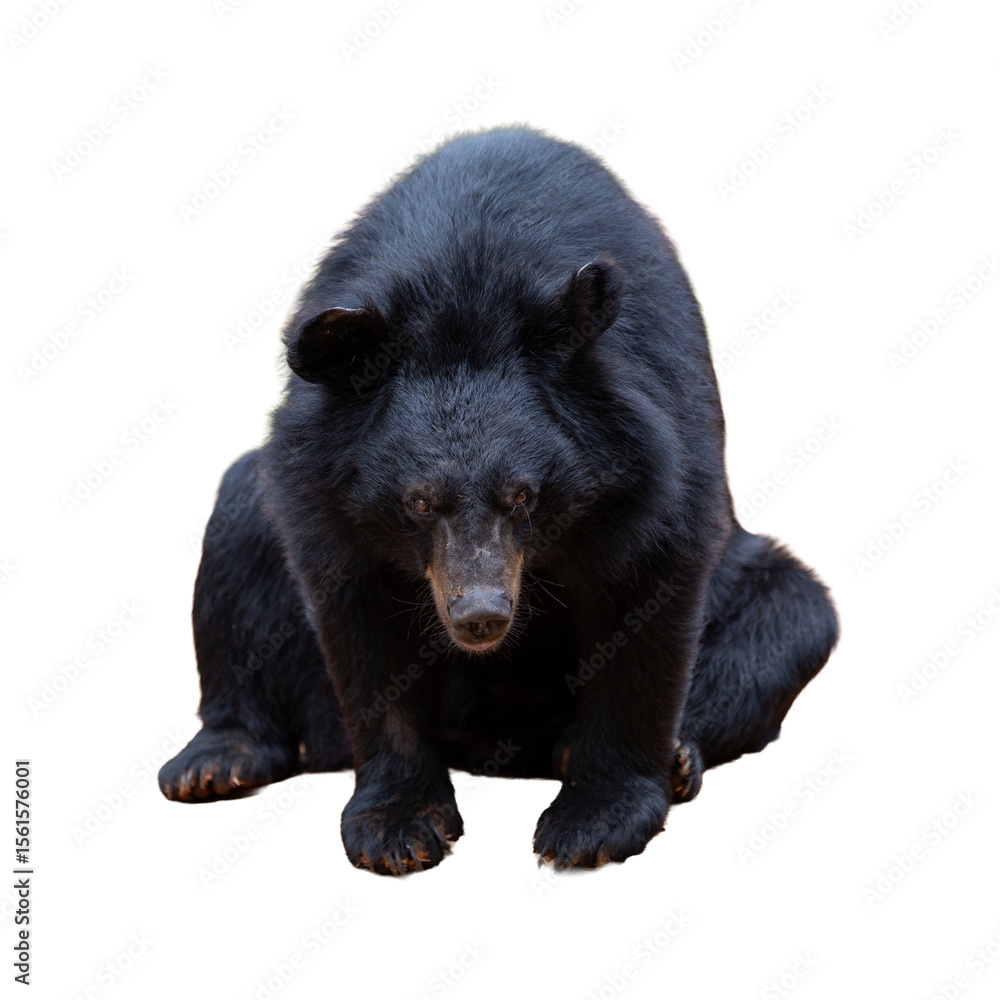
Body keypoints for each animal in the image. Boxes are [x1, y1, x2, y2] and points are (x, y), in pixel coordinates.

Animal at [158, 125, 839, 875]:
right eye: (419, 504)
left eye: (523, 496)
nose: (480, 616)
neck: (463, 281)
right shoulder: (322, 491)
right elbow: (364, 633)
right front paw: (396, 828)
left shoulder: (651, 452)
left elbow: (648, 597)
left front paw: (592, 825)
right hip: (256, 529)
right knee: (237, 542)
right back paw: (214, 763)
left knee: (788, 615)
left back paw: (665, 757)